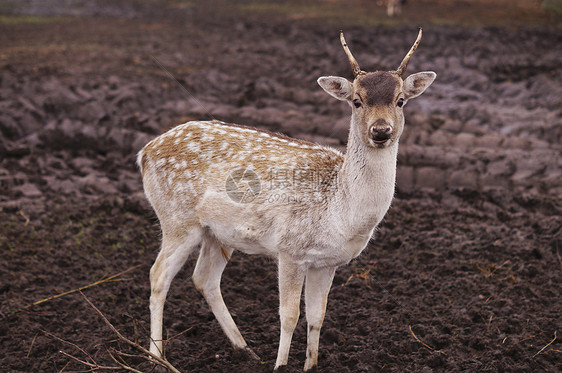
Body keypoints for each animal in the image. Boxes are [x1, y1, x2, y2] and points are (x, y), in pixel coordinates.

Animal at [138, 28, 436, 370]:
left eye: (401, 100)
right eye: (356, 101)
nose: (381, 130)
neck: (339, 211)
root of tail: (144, 152)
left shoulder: (327, 262)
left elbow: (317, 317)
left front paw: (311, 365)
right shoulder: (290, 249)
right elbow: (289, 316)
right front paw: (280, 365)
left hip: (216, 232)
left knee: (204, 278)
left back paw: (245, 349)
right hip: (177, 218)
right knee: (158, 275)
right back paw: (157, 357)